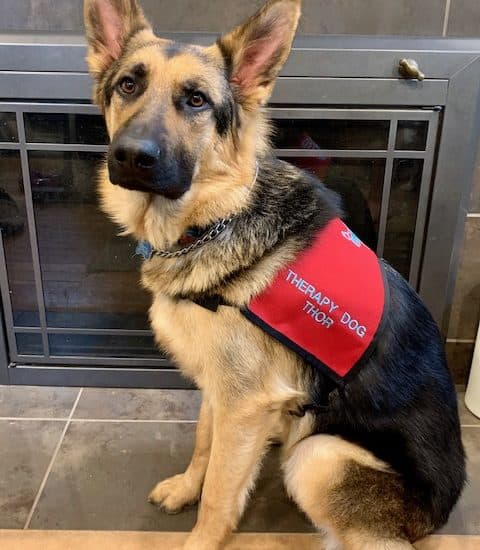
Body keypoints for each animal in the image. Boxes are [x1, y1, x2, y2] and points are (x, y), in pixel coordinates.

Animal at [85, 2, 464, 548]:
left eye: (196, 100)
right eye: (129, 85)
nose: (132, 156)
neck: (216, 219)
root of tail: (443, 511)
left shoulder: (243, 406)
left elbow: (221, 490)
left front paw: (201, 537)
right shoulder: (220, 391)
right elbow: (204, 446)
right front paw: (186, 488)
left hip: (317, 456)